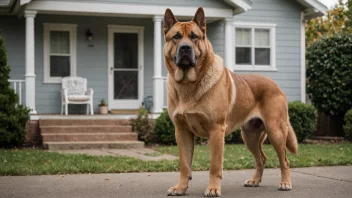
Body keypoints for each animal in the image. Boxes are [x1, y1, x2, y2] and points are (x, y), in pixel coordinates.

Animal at [164, 6, 298, 197]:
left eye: (194, 36)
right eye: (176, 37)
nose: (185, 48)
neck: (188, 84)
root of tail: (276, 85)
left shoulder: (216, 130)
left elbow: (214, 165)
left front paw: (213, 188)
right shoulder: (182, 131)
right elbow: (184, 165)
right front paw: (180, 188)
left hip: (276, 132)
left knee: (284, 160)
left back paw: (285, 183)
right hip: (249, 135)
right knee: (261, 159)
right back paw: (254, 181)